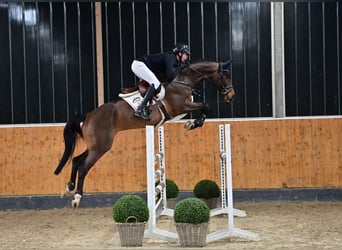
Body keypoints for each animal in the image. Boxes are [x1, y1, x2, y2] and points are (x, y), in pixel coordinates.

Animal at [54, 59, 235, 207]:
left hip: (95, 146)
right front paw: (193, 124)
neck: (183, 81)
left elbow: (204, 107)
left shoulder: (181, 111)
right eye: (226, 76)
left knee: (76, 160)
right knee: (84, 167)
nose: (231, 96)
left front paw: (192, 124)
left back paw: (68, 188)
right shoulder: (181, 107)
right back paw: (77, 197)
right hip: (100, 147)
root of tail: (88, 116)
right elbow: (206, 106)